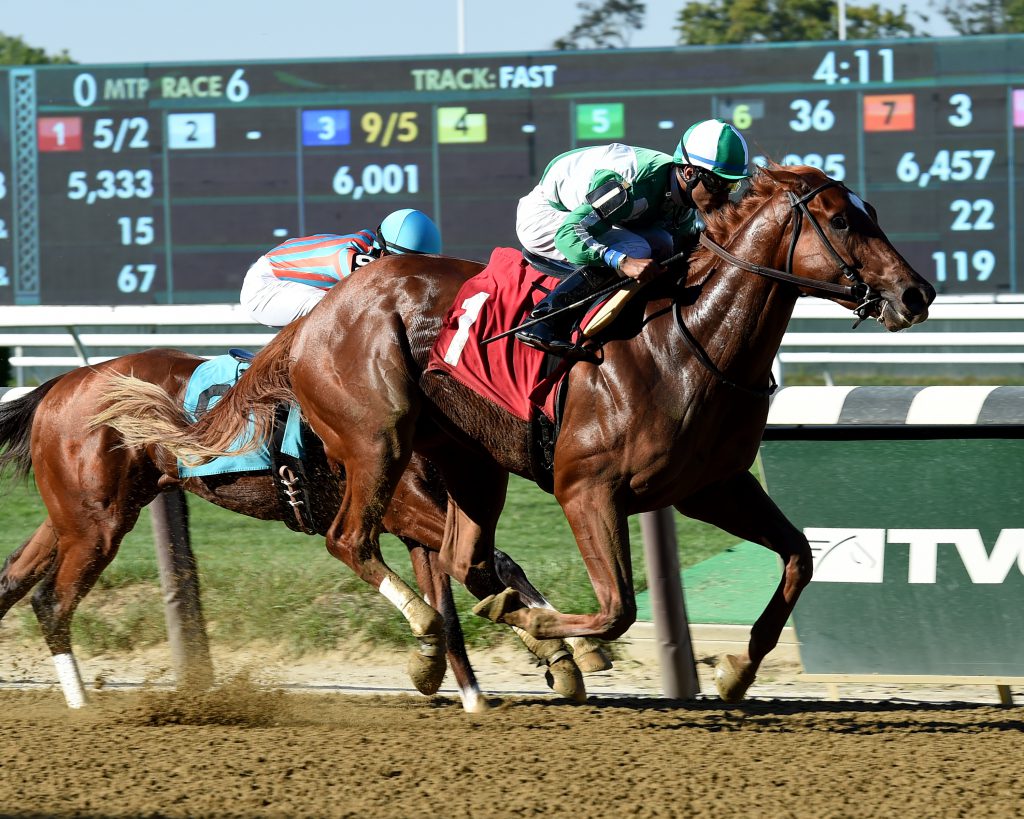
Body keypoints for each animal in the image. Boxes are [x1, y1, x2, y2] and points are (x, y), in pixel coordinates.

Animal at [96, 167, 937, 704]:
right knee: (354, 540)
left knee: (464, 554)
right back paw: (436, 637)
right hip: (378, 440)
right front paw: (542, 627)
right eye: (843, 217)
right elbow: (618, 606)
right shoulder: (586, 486)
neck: (689, 337)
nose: (916, 292)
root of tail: (312, 321)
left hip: (471, 464)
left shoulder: (710, 486)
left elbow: (799, 557)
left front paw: (735, 672)